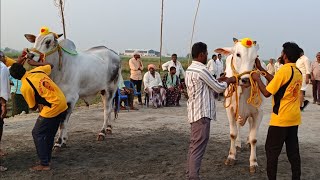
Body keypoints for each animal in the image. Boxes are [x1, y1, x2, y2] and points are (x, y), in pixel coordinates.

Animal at [215, 37, 268, 173]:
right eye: (238, 54)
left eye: (255, 57)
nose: (245, 80)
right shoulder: (230, 110)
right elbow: (233, 134)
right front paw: (231, 156)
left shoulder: (259, 112)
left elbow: (254, 137)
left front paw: (253, 162)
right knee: (238, 127)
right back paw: (238, 144)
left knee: (249, 125)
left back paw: (247, 142)